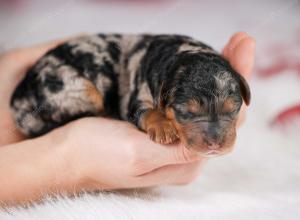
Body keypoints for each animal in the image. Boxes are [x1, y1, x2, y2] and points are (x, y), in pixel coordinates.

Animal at [10, 33, 250, 157]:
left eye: (233, 110)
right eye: (186, 113)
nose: (215, 144)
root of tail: (17, 101)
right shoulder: (134, 98)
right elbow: (146, 111)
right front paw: (163, 127)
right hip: (76, 88)